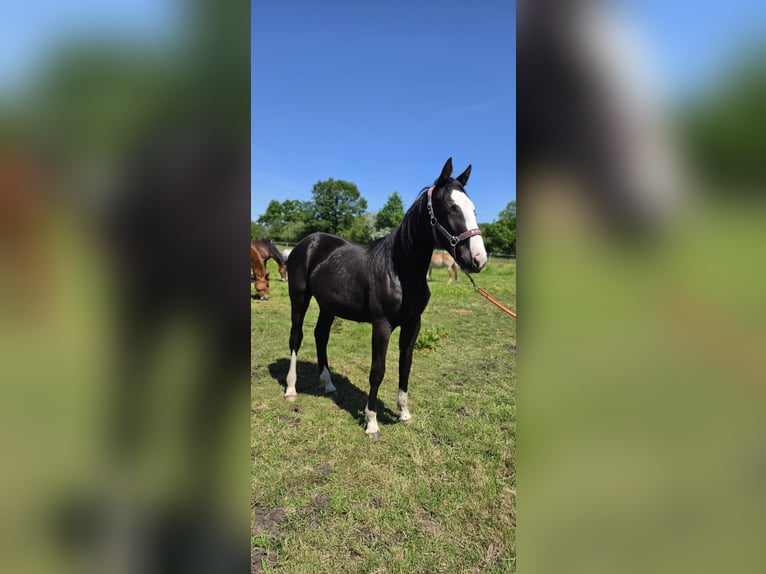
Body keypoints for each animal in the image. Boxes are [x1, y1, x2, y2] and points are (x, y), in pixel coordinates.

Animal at [284, 158, 487, 438]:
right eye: (452, 206)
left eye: (472, 208)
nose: (478, 259)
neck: (398, 269)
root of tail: (307, 242)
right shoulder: (381, 325)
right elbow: (377, 371)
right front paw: (372, 422)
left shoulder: (413, 324)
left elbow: (405, 366)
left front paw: (404, 413)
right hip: (300, 298)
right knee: (296, 337)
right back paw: (290, 388)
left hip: (328, 306)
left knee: (320, 336)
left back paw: (328, 384)